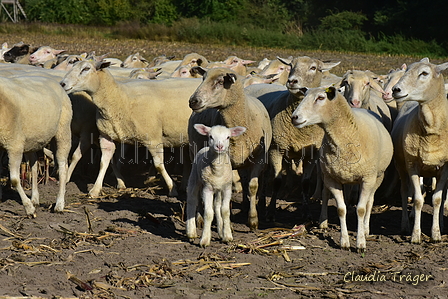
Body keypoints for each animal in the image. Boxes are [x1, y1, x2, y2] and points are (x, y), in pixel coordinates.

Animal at [0, 73, 72, 218]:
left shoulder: (14, 144)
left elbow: (15, 179)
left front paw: (29, 209)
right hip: (32, 141)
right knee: (33, 167)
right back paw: (35, 198)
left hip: (63, 130)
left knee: (63, 166)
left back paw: (59, 204)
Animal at [60, 59, 201, 198]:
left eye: (86, 69)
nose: (62, 83)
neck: (119, 97)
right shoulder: (106, 136)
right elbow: (103, 162)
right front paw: (95, 190)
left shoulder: (153, 138)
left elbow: (159, 165)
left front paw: (172, 188)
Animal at [290, 85, 392, 252]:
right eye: (304, 96)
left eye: (320, 98)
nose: (294, 117)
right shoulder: (332, 178)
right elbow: (341, 209)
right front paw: (344, 241)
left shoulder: (367, 178)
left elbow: (361, 209)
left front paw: (360, 243)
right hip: (329, 173)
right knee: (325, 194)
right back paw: (323, 222)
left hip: (378, 176)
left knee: (370, 201)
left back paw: (366, 229)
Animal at [390, 58, 448, 244]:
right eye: (407, 70)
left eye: (424, 73)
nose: (396, 90)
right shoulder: (412, 165)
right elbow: (417, 200)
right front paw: (415, 235)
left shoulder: (445, 168)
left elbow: (437, 199)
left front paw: (436, 233)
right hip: (401, 165)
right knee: (404, 192)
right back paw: (405, 224)